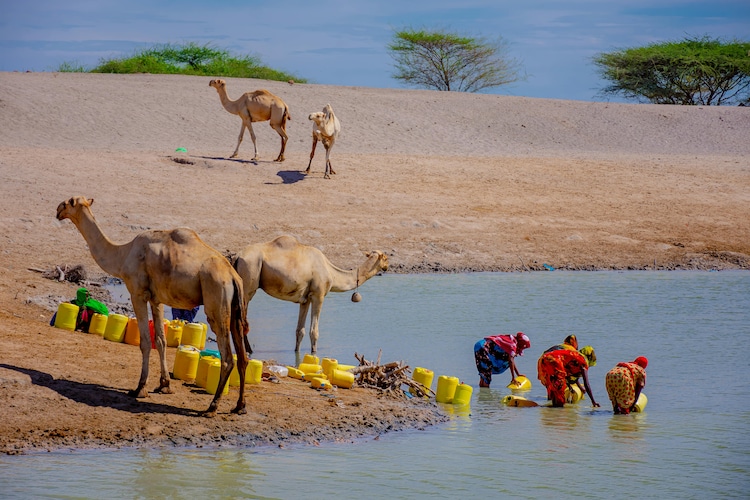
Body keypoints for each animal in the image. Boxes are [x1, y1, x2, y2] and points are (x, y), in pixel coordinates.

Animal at [56, 196, 249, 417]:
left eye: (69, 202)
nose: (58, 210)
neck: (123, 254)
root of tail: (233, 276)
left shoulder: (137, 293)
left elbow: (146, 341)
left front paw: (140, 389)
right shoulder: (157, 299)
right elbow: (161, 339)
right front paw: (164, 385)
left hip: (217, 301)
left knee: (227, 358)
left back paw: (211, 407)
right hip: (236, 309)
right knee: (243, 357)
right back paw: (240, 406)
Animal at [231, 235, 388, 353]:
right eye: (386, 258)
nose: (387, 266)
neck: (331, 271)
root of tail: (237, 257)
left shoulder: (305, 299)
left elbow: (299, 331)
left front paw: (297, 354)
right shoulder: (318, 295)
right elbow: (314, 332)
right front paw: (314, 354)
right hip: (249, 284)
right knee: (241, 320)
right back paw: (249, 351)